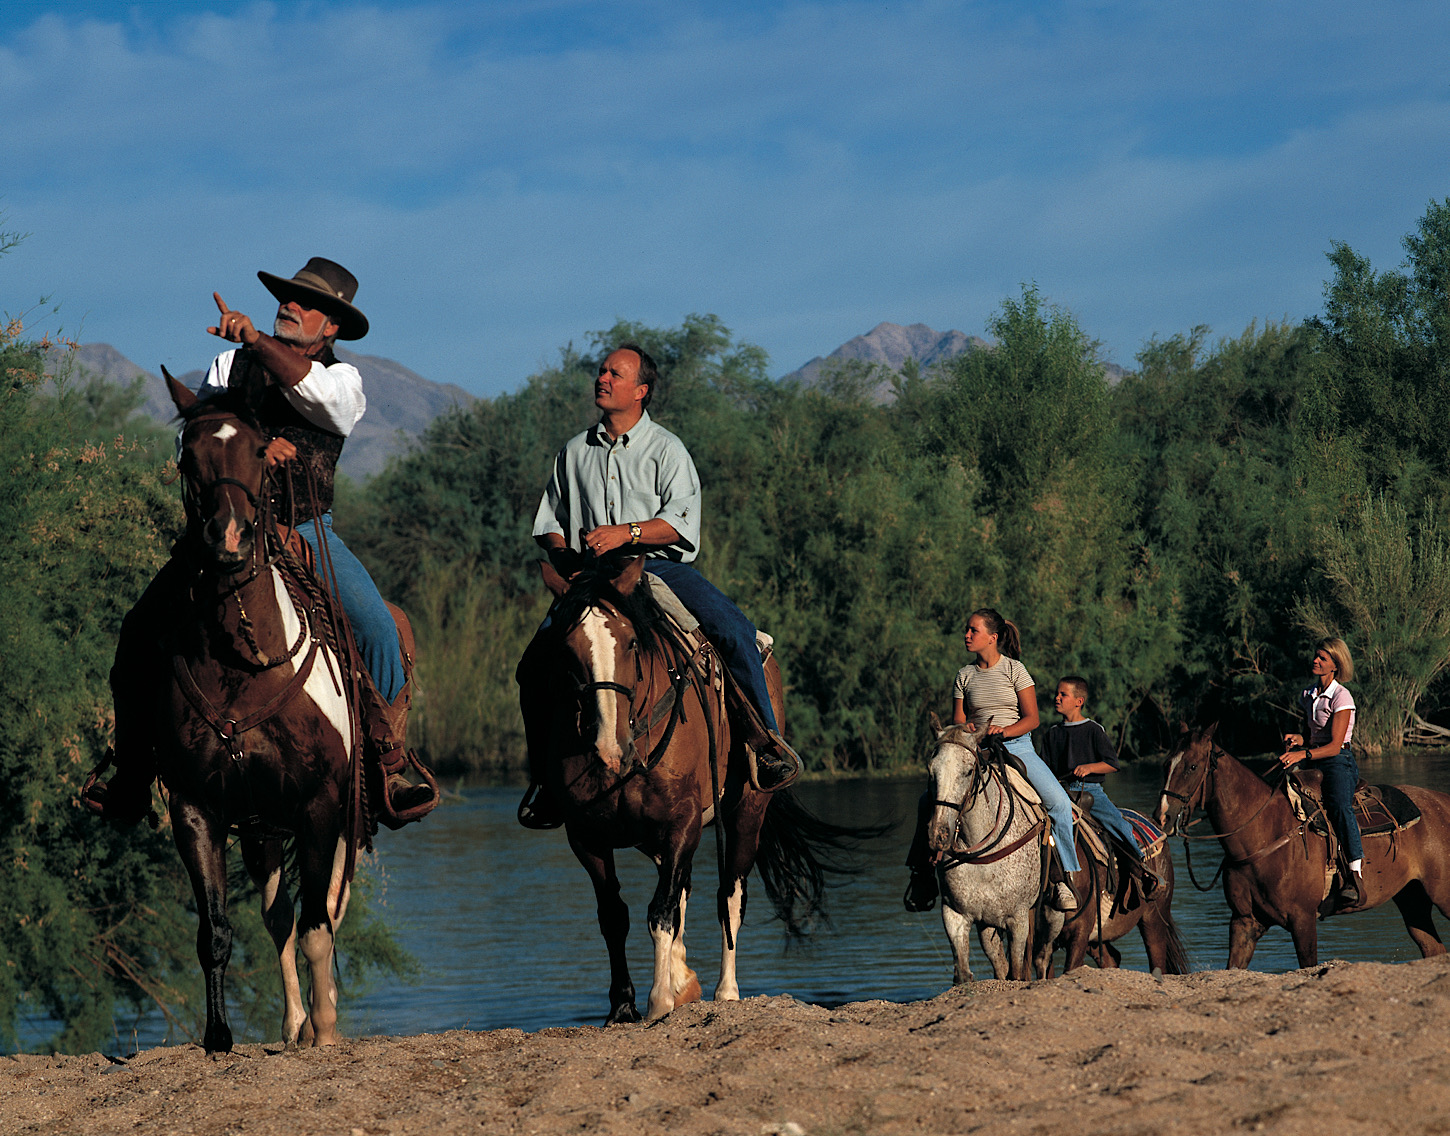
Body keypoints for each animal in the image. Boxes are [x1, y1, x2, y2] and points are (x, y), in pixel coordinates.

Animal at [1160, 728, 1450, 969]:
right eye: (1167, 764)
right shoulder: (1244, 922)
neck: (1264, 834)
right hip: (1412, 898)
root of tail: (1442, 801)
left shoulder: (1303, 920)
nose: (1162, 816)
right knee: (1433, 949)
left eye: (1192, 766)